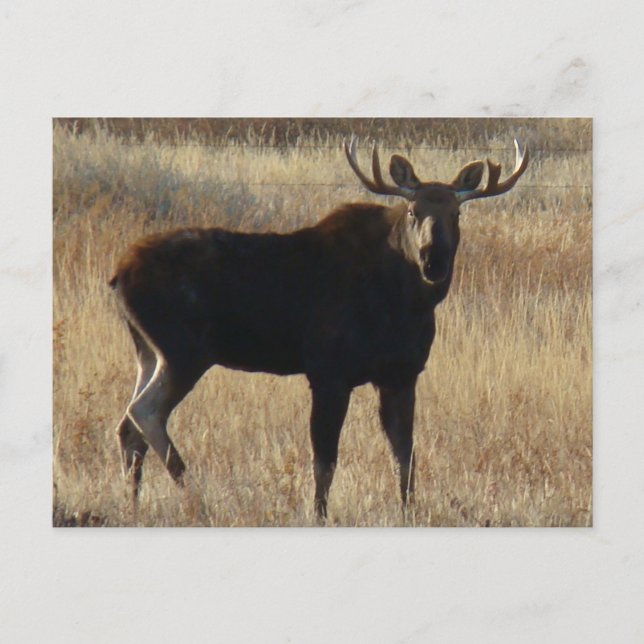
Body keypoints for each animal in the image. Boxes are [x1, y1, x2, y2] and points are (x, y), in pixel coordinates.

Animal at [110, 138, 529, 520]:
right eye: (413, 210)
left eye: (456, 213)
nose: (433, 259)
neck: (405, 303)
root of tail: (117, 276)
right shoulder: (329, 372)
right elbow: (325, 460)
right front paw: (319, 514)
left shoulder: (401, 374)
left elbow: (405, 454)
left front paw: (410, 512)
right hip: (183, 350)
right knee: (144, 411)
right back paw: (197, 499)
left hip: (148, 351)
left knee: (128, 426)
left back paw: (133, 505)